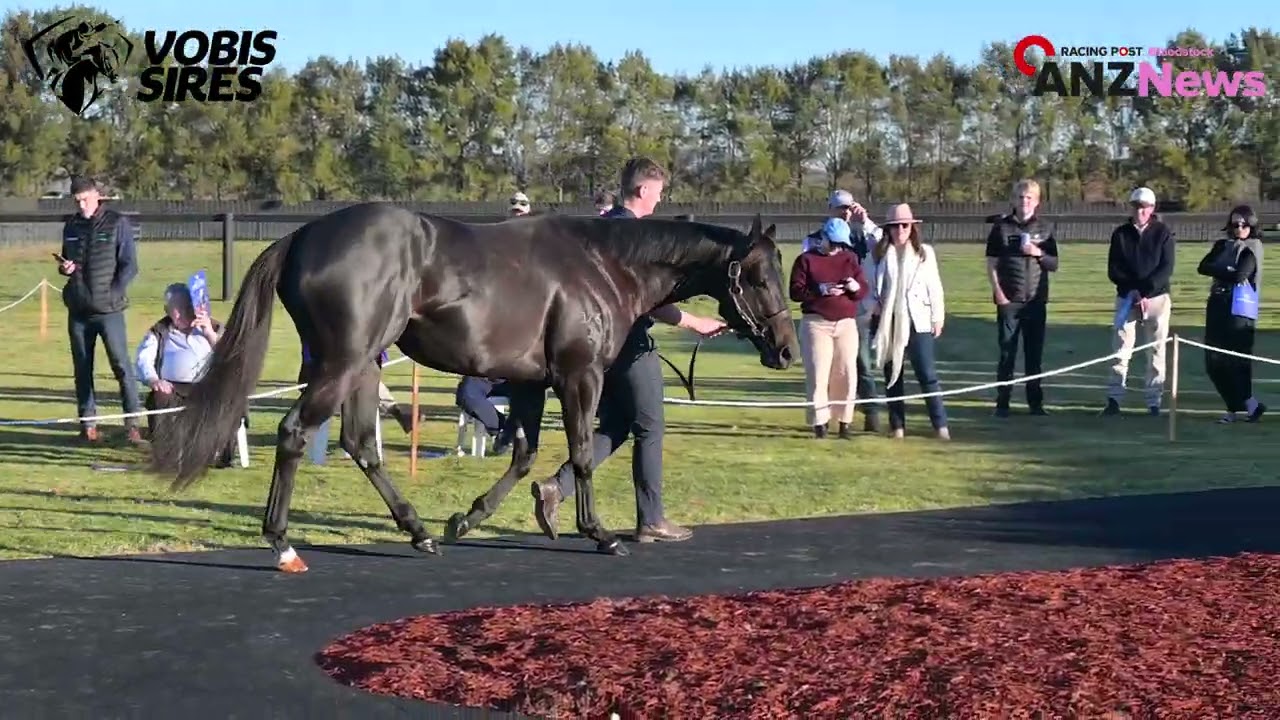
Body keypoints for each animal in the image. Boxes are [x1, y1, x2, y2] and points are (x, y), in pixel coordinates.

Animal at [146, 202, 797, 572]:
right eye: (759, 276)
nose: (786, 349)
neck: (602, 265)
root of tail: (301, 238)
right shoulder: (578, 376)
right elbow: (582, 453)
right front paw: (600, 534)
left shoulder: (532, 381)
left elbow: (525, 453)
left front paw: (468, 519)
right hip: (342, 362)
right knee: (293, 433)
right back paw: (281, 544)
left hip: (364, 365)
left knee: (361, 442)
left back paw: (418, 533)